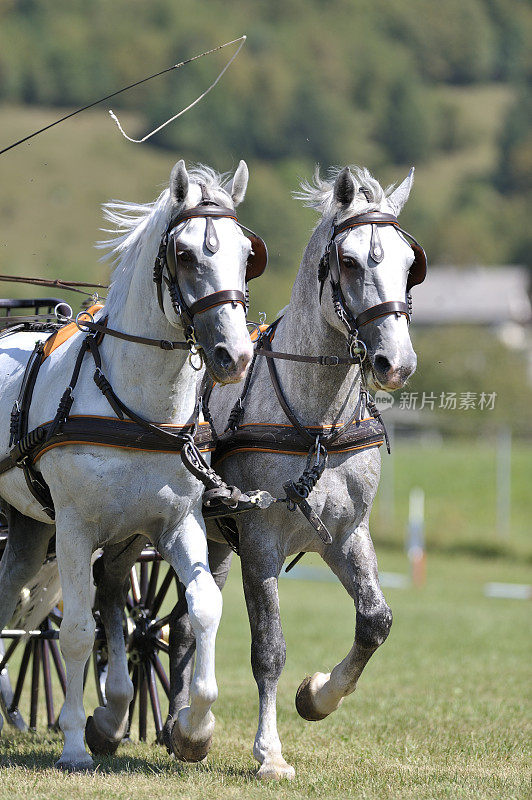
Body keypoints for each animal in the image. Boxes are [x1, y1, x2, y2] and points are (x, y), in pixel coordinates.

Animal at [0, 158, 256, 768]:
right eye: (183, 254)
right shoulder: (74, 528)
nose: (234, 355)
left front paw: (194, 730)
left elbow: (202, 606)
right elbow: (73, 630)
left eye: (246, 253)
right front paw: (73, 742)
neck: (134, 404)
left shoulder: (176, 522)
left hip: (34, 529)